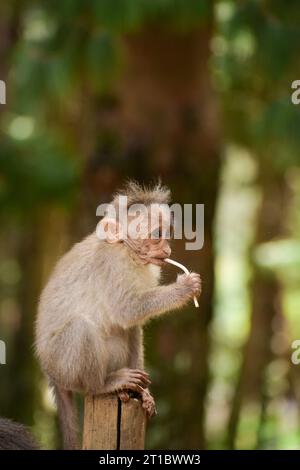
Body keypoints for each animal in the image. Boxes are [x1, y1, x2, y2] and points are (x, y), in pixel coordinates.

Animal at [35, 180, 202, 448]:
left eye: (166, 234)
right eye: (157, 235)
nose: (167, 249)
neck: (126, 251)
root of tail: (50, 374)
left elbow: (130, 323)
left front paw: (145, 395)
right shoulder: (113, 265)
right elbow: (127, 309)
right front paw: (184, 289)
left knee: (127, 331)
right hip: (63, 364)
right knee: (82, 327)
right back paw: (103, 385)